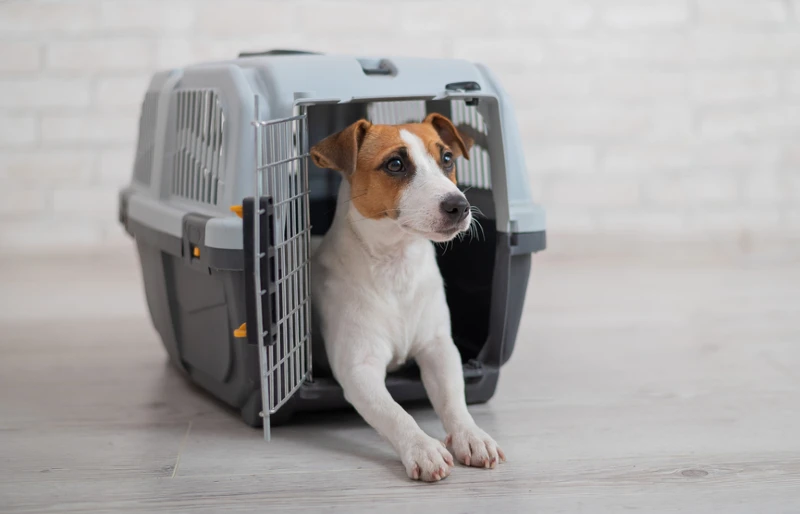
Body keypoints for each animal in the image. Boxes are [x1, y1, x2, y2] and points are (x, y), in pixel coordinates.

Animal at [310, 112, 504, 480]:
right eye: (396, 164)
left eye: (447, 159)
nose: (459, 205)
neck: (396, 264)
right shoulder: (359, 368)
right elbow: (394, 412)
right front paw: (423, 447)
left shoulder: (439, 348)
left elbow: (453, 399)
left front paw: (471, 436)